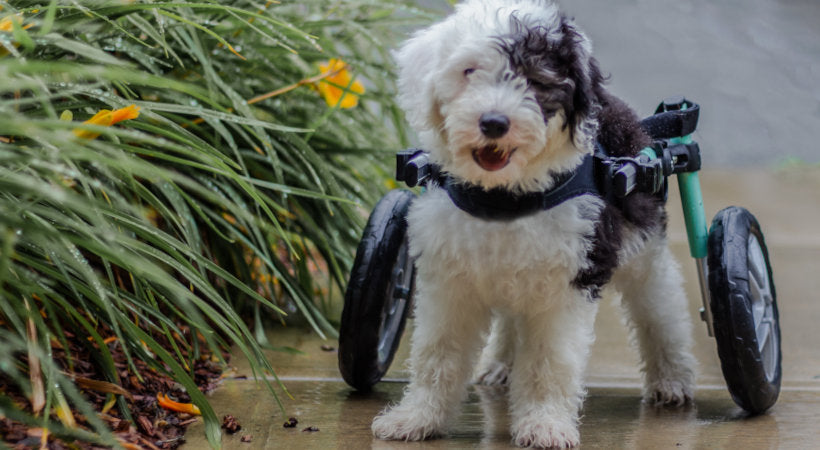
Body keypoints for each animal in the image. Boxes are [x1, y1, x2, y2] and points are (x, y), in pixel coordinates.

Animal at [374, 1, 696, 448]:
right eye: (469, 71)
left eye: (536, 79)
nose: (494, 123)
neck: (504, 199)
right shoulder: (449, 281)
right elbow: (437, 352)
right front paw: (416, 419)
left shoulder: (569, 279)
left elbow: (549, 361)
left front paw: (545, 426)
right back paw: (500, 364)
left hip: (643, 246)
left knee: (661, 308)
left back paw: (672, 379)